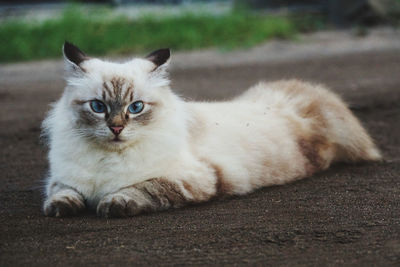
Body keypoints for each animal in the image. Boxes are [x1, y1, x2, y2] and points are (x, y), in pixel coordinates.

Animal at [40, 41, 382, 218]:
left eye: (135, 108)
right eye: (98, 107)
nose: (116, 128)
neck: (107, 160)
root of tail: (305, 91)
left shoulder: (191, 178)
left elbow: (140, 188)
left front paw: (110, 204)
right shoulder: (63, 179)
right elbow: (60, 193)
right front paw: (62, 209)